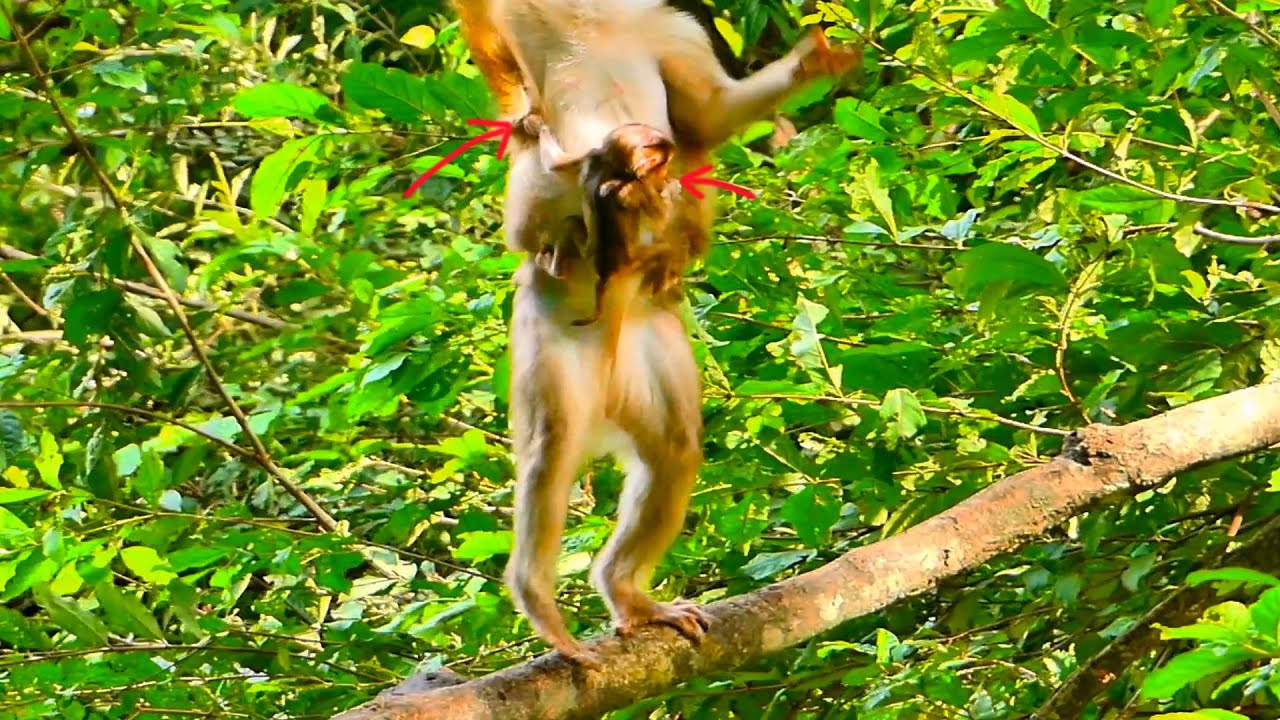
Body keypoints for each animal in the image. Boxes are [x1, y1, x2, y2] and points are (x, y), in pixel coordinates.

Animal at [452, 0, 859, 665]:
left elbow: (709, 114)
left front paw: (813, 61)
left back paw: (627, 593)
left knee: (673, 447)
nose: (646, 162)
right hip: (551, 330)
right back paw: (536, 594)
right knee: (553, 448)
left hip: (646, 349)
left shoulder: (666, 30)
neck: (589, 25)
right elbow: (542, 136)